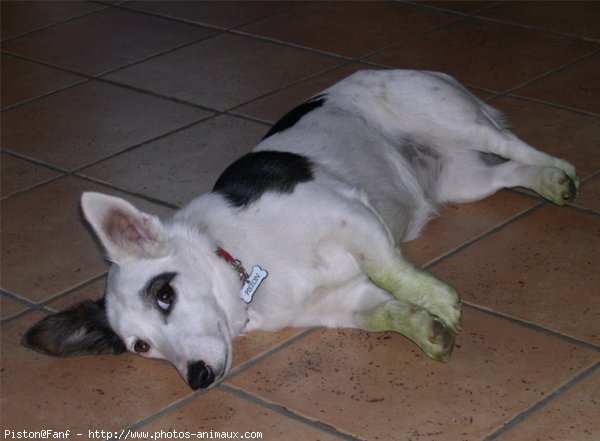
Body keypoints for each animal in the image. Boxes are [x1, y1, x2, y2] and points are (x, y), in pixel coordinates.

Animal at [22, 69, 576, 388]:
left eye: (165, 295)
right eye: (141, 348)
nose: (196, 378)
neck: (241, 265)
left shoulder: (350, 216)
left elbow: (393, 271)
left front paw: (440, 301)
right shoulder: (348, 302)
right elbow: (388, 312)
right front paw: (426, 329)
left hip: (454, 121)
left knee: (518, 145)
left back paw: (565, 171)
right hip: (465, 181)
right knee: (512, 172)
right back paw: (548, 183)